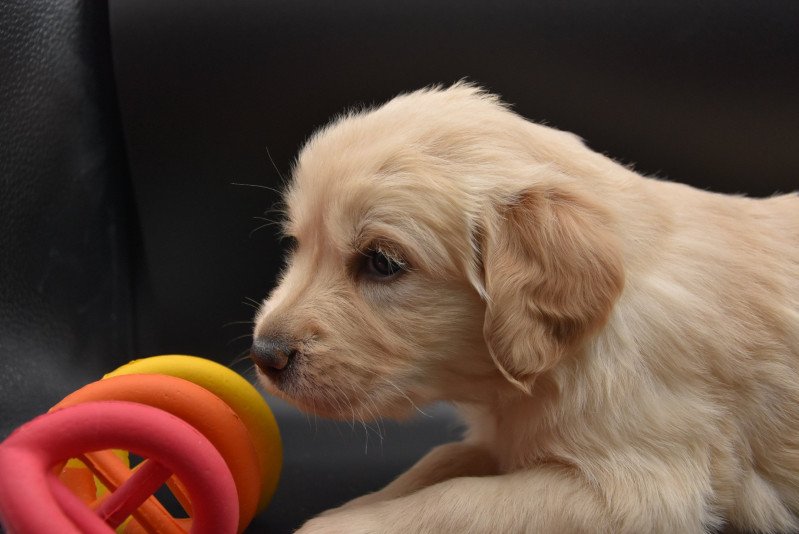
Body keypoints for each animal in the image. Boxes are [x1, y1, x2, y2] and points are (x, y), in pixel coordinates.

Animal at [252, 84, 799, 534]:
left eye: (382, 262)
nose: (264, 354)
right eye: (299, 245)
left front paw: (340, 526)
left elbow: (461, 501)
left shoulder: (637, 489)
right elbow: (442, 459)